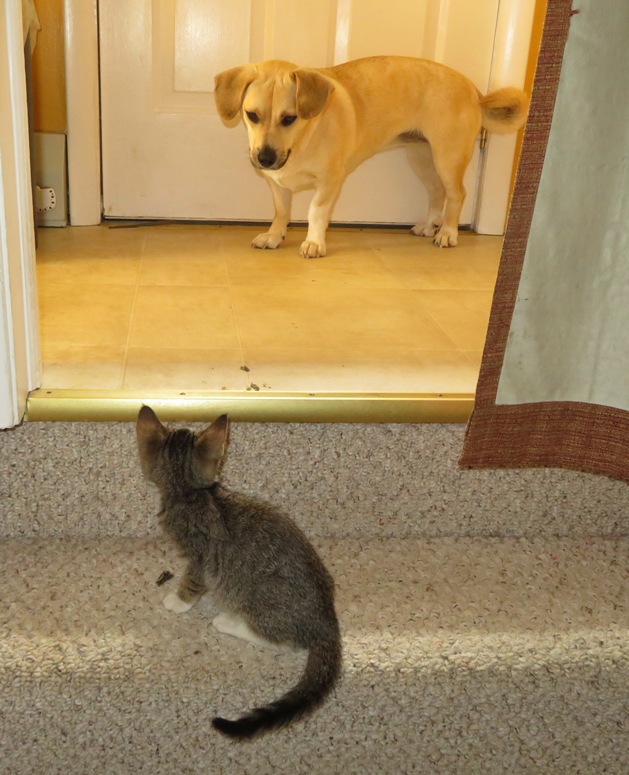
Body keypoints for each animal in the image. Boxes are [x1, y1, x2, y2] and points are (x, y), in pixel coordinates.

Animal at [134, 406, 340, 740]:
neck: (190, 494)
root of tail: (327, 620)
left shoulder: (201, 556)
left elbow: (193, 581)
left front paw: (178, 601)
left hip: (263, 597)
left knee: (283, 640)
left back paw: (227, 623)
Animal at [213, 58, 528, 258]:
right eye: (251, 115)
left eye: (289, 118)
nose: (264, 159)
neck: (304, 139)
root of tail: (475, 91)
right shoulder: (277, 186)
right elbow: (281, 213)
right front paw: (274, 236)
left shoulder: (330, 182)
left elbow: (315, 213)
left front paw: (314, 243)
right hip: (422, 159)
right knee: (437, 194)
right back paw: (428, 226)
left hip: (448, 159)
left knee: (456, 195)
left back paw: (448, 233)